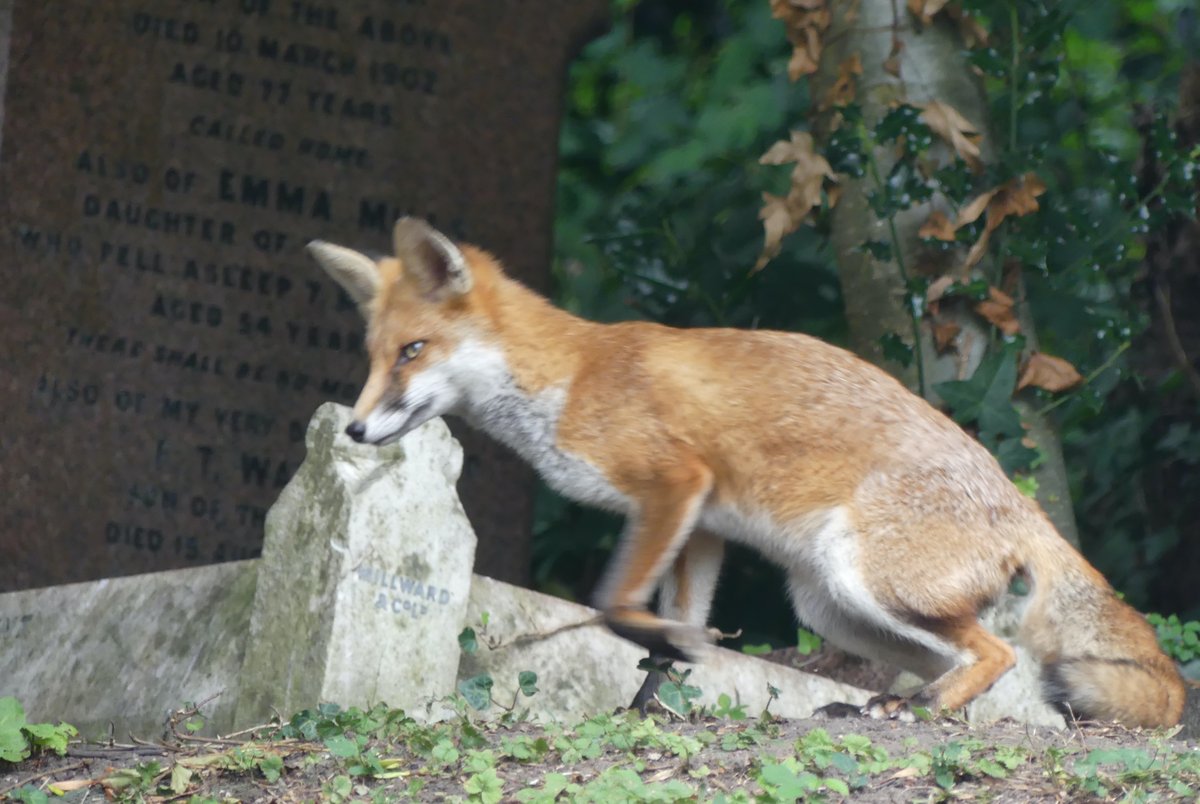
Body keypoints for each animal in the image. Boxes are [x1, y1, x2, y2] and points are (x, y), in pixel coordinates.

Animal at [306, 217, 1185, 728]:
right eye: (374, 356)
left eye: (413, 351)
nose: (354, 428)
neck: (571, 379)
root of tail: (1018, 499)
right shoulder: (699, 528)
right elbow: (664, 638)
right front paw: (647, 710)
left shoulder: (674, 485)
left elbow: (615, 606)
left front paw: (669, 661)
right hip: (832, 607)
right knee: (963, 664)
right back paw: (892, 707)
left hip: (867, 580)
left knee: (997, 658)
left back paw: (918, 714)